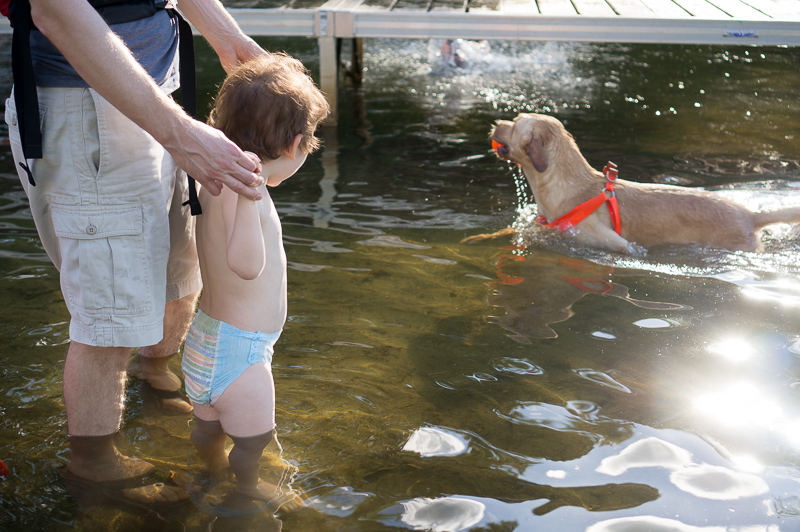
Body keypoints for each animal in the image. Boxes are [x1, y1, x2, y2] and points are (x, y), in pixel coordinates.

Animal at [466, 112, 800, 254]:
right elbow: (509, 230)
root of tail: (752, 215)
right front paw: (477, 238)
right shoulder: (543, 226)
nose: (494, 123)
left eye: (514, 124)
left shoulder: (612, 241)